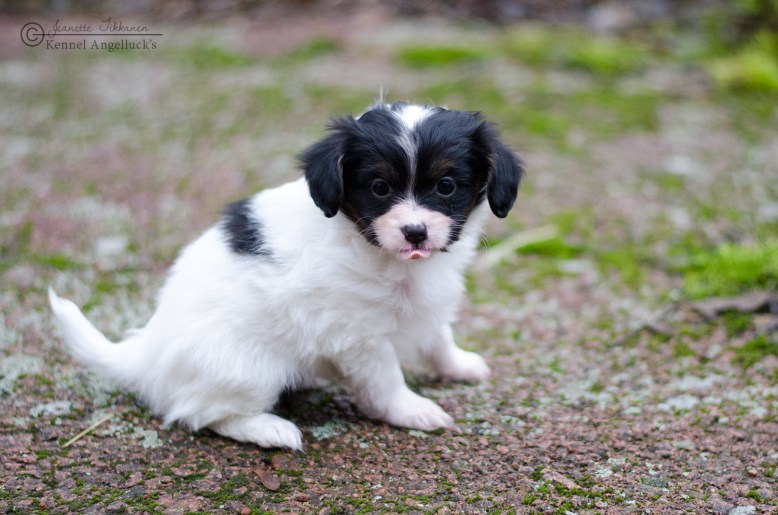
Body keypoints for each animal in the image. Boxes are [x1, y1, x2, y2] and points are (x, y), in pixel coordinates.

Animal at [49, 102, 523, 450]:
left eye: (446, 185)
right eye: (379, 188)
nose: (415, 231)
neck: (383, 255)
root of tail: (145, 355)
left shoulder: (425, 304)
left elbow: (439, 337)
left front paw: (459, 365)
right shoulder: (358, 336)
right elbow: (386, 379)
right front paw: (412, 410)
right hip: (251, 371)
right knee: (199, 413)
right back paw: (271, 430)